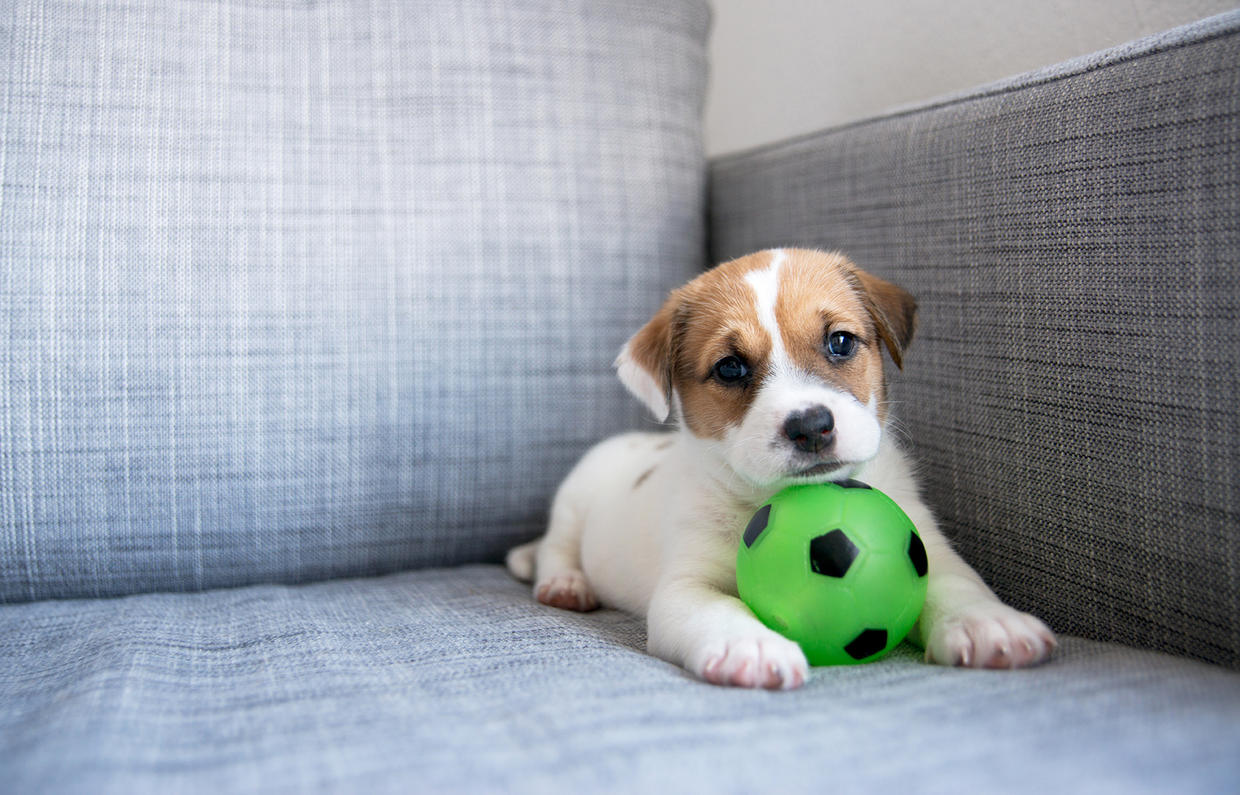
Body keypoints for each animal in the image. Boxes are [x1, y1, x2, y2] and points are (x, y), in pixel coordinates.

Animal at [503, 249, 1056, 689]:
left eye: (840, 342)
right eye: (730, 367)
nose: (810, 426)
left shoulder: (927, 546)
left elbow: (956, 584)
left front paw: (988, 623)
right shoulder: (686, 586)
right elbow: (719, 609)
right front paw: (750, 645)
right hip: (574, 502)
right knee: (556, 548)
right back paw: (565, 583)